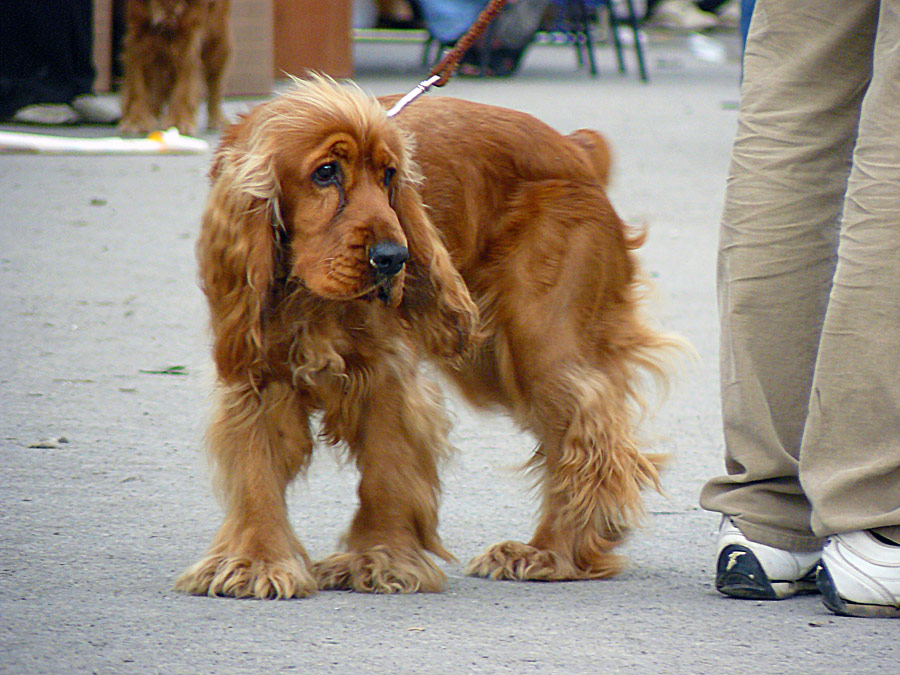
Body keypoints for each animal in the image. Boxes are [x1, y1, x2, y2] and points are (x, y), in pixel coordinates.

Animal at [118, 0, 230, 136]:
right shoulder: (138, 36)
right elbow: (137, 88)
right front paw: (136, 120)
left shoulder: (188, 37)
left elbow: (183, 89)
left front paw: (179, 122)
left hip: (217, 42)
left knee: (215, 86)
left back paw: (217, 119)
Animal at [176, 76, 684, 600]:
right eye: (326, 173)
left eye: (389, 175)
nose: (393, 257)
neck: (308, 296)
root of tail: (575, 148)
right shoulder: (254, 370)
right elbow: (255, 470)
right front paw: (254, 561)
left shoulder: (385, 372)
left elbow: (387, 469)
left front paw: (378, 557)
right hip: (492, 359)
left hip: (540, 344)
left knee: (591, 438)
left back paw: (553, 551)